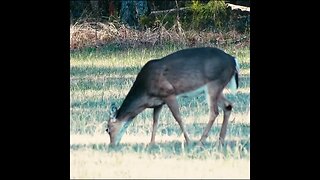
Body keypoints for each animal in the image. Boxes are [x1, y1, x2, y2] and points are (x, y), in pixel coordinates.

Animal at [106, 46, 239, 146]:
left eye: (107, 129)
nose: (112, 145)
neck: (145, 93)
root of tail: (233, 60)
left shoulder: (169, 93)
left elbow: (178, 118)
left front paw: (189, 141)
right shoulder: (158, 102)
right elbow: (155, 121)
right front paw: (151, 143)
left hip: (214, 84)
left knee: (214, 112)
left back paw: (200, 142)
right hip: (218, 88)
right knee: (228, 105)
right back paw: (220, 141)